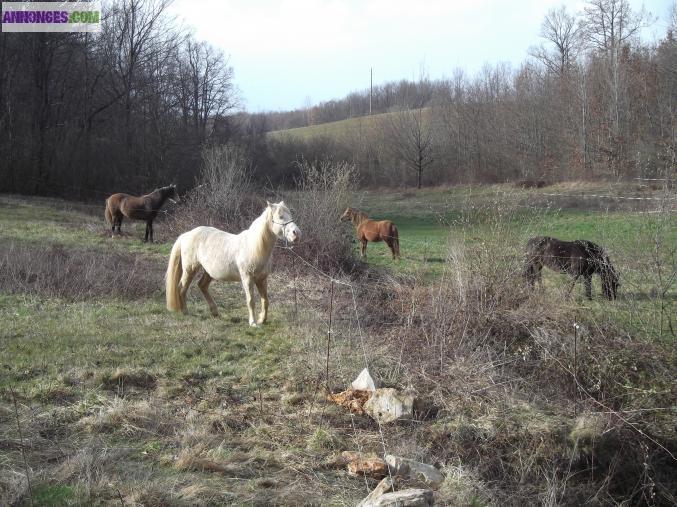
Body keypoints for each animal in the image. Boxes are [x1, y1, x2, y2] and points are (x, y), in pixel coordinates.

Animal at [165, 200, 300, 328]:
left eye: (290, 214)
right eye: (281, 217)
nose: (296, 233)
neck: (253, 247)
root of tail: (186, 235)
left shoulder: (262, 279)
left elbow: (265, 300)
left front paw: (262, 320)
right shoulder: (247, 278)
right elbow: (251, 300)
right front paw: (253, 323)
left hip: (208, 272)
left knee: (202, 285)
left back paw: (215, 312)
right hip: (190, 269)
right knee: (181, 287)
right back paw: (185, 311)